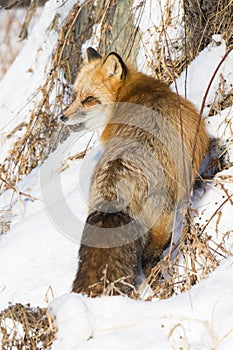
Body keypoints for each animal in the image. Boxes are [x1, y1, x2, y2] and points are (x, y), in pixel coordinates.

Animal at [60, 47, 209, 296]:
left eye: (88, 99)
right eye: (76, 96)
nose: (62, 117)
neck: (128, 96)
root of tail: (115, 186)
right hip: (164, 223)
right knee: (151, 260)